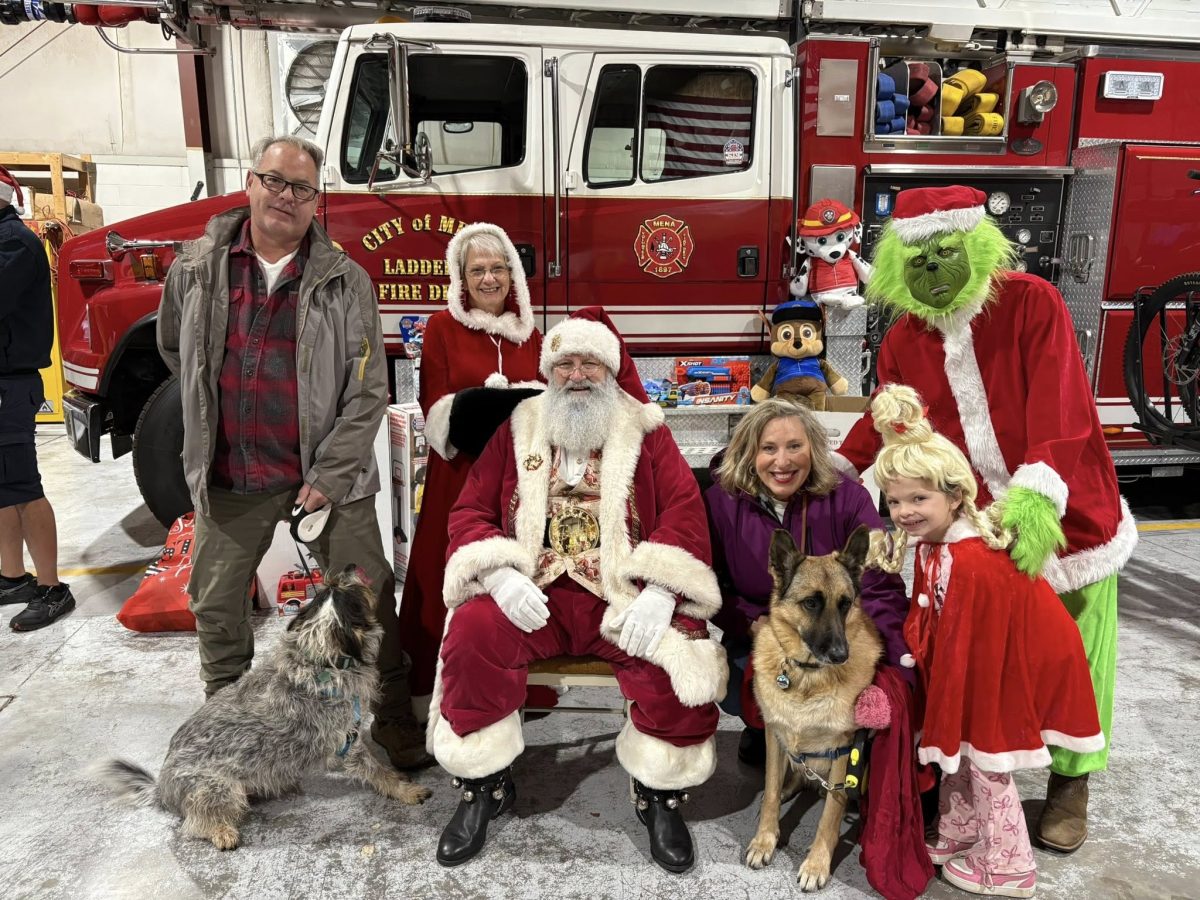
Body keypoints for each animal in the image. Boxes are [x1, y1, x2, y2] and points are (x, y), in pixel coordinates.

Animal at [95, 566, 431, 850]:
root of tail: (162, 789)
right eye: (350, 594)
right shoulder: (346, 743)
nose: (349, 566)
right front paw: (406, 791)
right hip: (219, 788)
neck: (318, 661)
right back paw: (221, 831)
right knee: (194, 822)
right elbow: (379, 772)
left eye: (328, 589)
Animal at [744, 526, 883, 891]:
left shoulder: (844, 753)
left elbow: (830, 815)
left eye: (845, 604)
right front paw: (765, 840)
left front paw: (817, 864)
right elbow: (770, 792)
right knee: (788, 781)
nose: (840, 655)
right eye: (810, 603)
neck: (807, 676)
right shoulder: (775, 738)